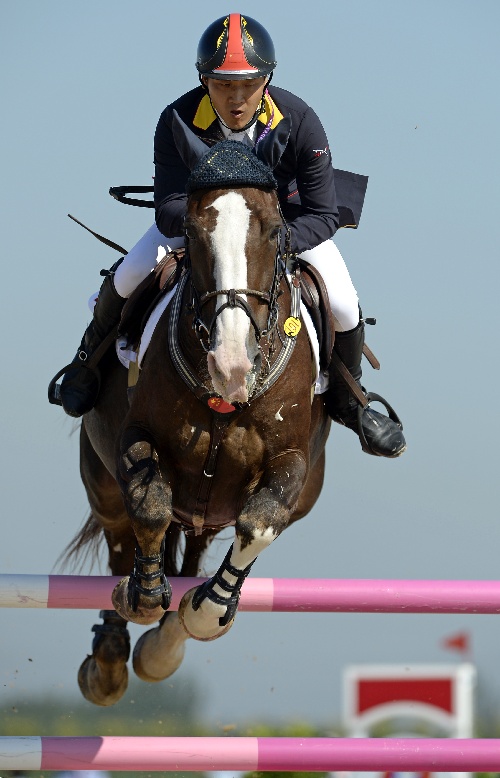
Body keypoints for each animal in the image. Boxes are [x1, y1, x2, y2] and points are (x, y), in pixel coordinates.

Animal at [67, 113, 332, 704]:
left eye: (275, 229)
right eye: (189, 231)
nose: (231, 364)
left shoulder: (292, 463)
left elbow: (261, 523)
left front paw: (205, 614)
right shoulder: (136, 441)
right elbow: (149, 506)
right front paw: (143, 597)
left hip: (219, 510)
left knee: (202, 550)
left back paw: (168, 640)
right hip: (101, 481)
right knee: (125, 535)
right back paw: (112, 659)